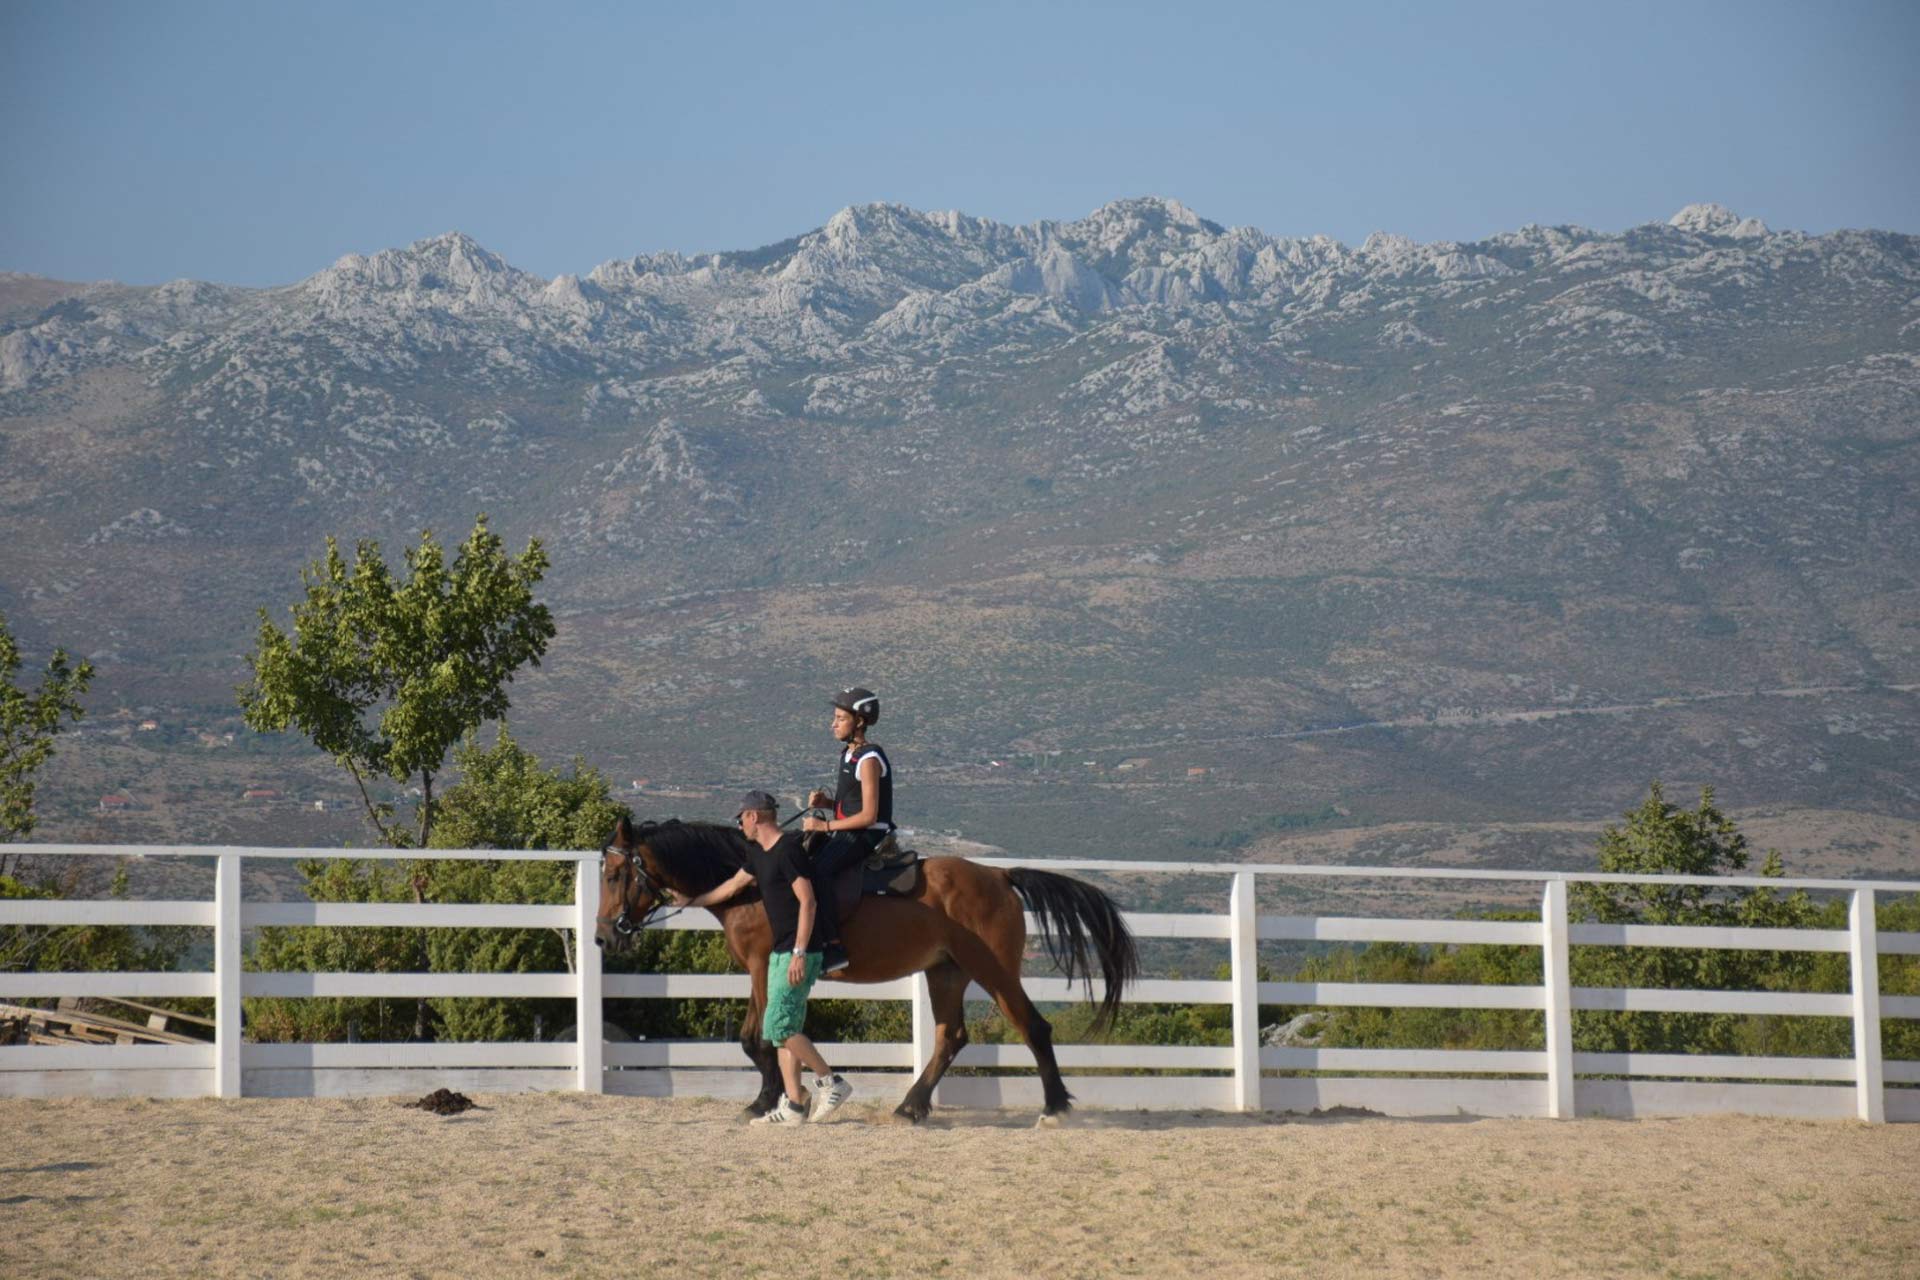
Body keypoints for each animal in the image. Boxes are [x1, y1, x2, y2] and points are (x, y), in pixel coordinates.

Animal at [595, 817, 1136, 1128]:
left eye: (617, 875)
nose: (604, 936)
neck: (754, 885)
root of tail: (999, 875)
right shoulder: (761, 969)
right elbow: (757, 1039)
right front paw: (770, 1100)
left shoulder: (762, 966)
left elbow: (761, 1038)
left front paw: (769, 1101)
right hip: (947, 972)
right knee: (951, 1036)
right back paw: (911, 1107)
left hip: (993, 969)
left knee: (1033, 1027)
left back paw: (1054, 1108)